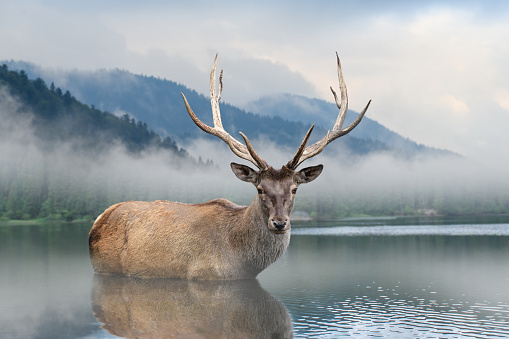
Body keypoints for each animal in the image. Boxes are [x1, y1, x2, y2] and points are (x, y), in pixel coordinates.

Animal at [88, 53, 370, 280]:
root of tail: (99, 219)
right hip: (103, 266)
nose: (280, 223)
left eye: (294, 189)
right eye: (260, 189)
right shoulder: (205, 276)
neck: (242, 263)